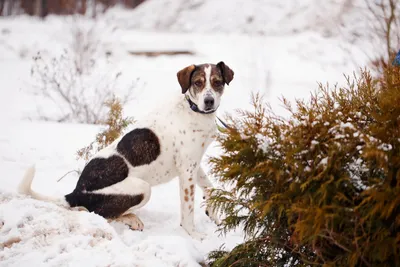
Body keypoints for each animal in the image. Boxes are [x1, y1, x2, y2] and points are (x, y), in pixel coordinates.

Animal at [18, 61, 234, 241]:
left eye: (217, 82)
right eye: (198, 83)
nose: (209, 101)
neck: (192, 110)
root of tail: (76, 192)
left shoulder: (192, 164)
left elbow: (209, 186)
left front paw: (213, 211)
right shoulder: (187, 169)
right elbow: (188, 209)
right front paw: (193, 234)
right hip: (142, 189)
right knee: (98, 213)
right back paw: (131, 218)